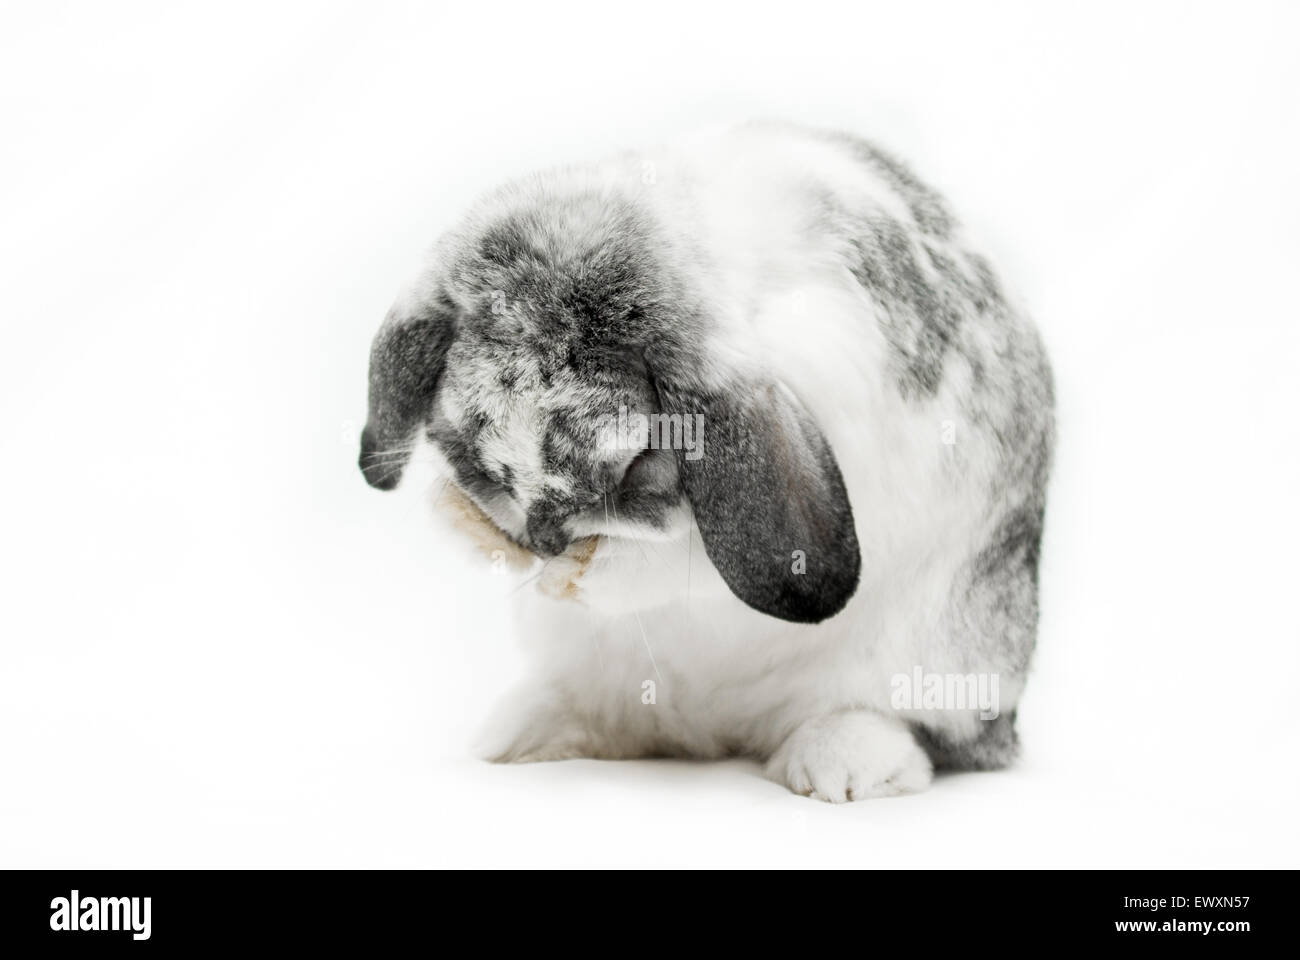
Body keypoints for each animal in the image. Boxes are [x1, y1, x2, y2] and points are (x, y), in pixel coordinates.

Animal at [359, 121, 1054, 801]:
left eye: (639, 457)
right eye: (465, 441)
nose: (545, 542)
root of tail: (716, 728)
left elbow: (669, 558)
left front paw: (580, 574)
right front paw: (468, 526)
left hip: (934, 664)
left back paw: (843, 764)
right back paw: (520, 734)